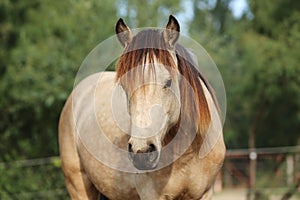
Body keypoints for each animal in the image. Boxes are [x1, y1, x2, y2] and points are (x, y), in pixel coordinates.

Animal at [59, 14, 225, 199]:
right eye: (124, 86)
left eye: (168, 82)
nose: (142, 152)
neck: (187, 155)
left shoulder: (206, 193)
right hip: (78, 185)